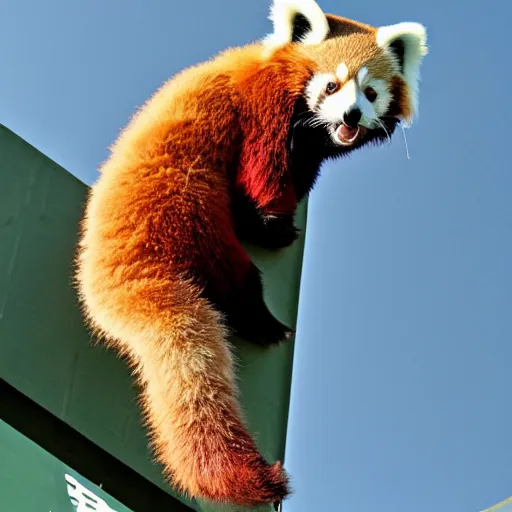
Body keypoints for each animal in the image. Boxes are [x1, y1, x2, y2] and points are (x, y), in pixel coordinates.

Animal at [76, 0, 428, 506]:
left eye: (371, 92)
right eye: (332, 85)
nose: (351, 116)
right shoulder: (265, 109)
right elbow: (265, 177)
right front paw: (274, 222)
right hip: (185, 204)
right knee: (231, 270)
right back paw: (262, 320)